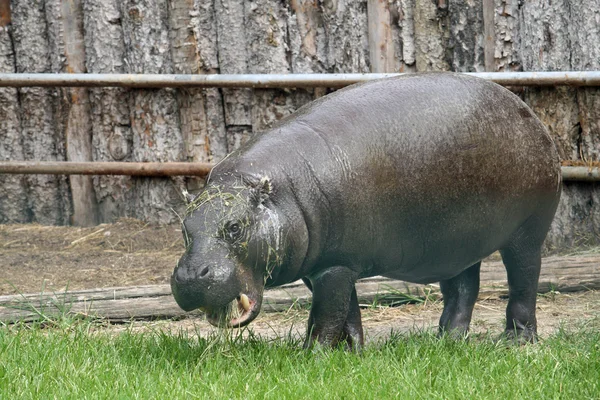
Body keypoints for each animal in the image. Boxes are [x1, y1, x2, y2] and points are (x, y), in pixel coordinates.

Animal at [170, 73, 564, 348]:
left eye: (235, 227)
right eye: (185, 228)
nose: (189, 275)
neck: (281, 193)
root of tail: (530, 116)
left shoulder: (334, 267)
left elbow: (326, 317)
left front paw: (312, 356)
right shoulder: (331, 264)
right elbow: (348, 313)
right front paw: (354, 352)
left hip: (528, 232)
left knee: (524, 281)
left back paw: (515, 341)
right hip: (456, 241)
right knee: (463, 288)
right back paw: (446, 341)